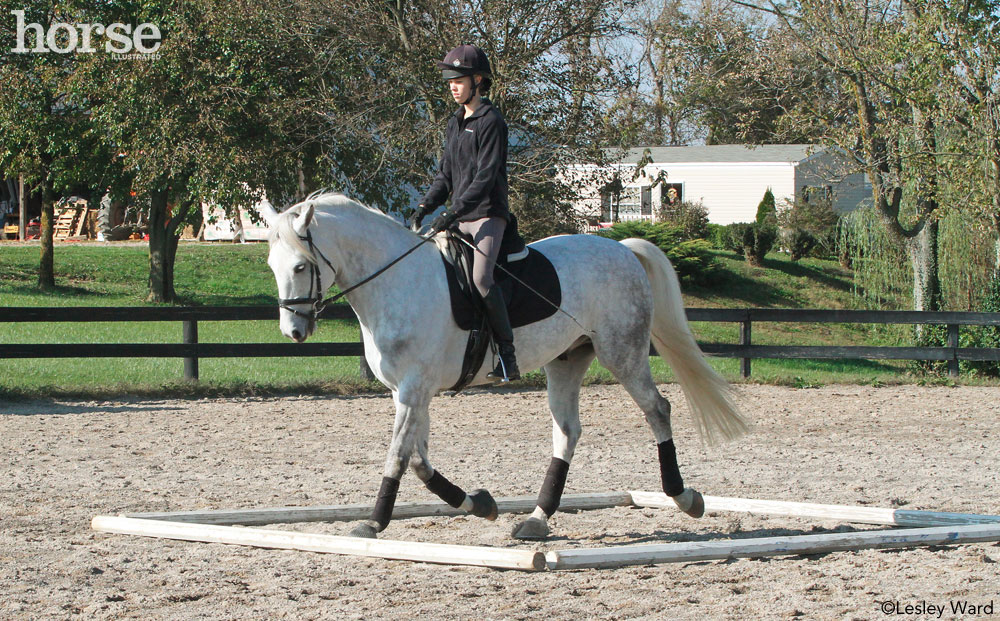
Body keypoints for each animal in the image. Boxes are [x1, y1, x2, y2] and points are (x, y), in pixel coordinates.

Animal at [262, 191, 748, 540]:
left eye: (301, 266)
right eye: (272, 264)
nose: (294, 331)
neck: (397, 281)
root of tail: (621, 248)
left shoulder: (415, 389)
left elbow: (398, 455)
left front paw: (373, 522)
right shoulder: (409, 392)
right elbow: (418, 460)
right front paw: (479, 503)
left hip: (622, 353)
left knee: (657, 410)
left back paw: (685, 498)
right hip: (567, 360)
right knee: (568, 432)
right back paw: (536, 519)